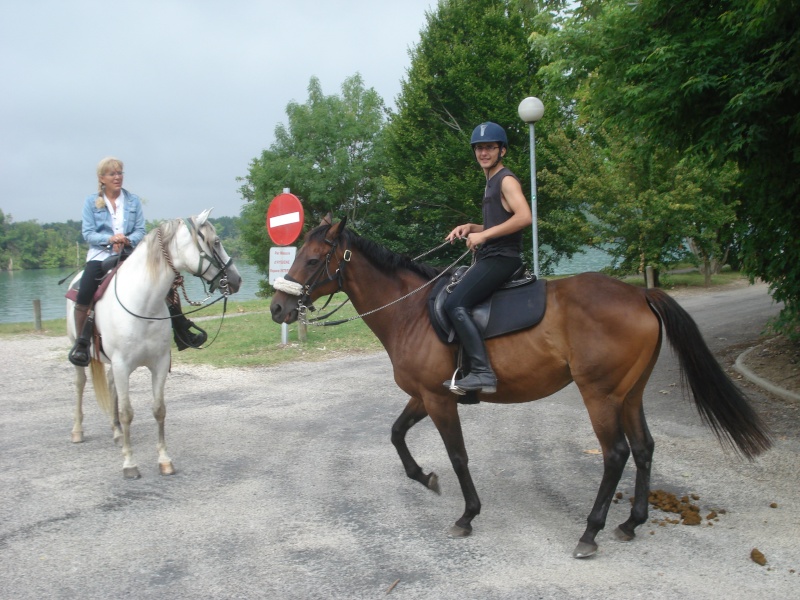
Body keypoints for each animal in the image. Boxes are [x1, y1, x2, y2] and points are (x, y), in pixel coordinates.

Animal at [66, 210, 241, 478]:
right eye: (217, 241)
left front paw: (164, 460)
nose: (236, 279)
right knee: (79, 384)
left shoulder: (158, 364)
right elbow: (127, 412)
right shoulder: (122, 365)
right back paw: (78, 430)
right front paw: (130, 464)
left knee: (110, 386)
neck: (142, 304)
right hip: (82, 354)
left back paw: (117, 433)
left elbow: (159, 409)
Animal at [272, 217, 772, 556]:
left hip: (599, 395)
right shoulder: (425, 394)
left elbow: (458, 455)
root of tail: (640, 294)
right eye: (295, 254)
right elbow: (396, 434)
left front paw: (467, 514)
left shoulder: (439, 399)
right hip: (630, 394)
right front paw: (424, 478)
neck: (411, 312)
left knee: (616, 454)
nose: (278, 307)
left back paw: (590, 532)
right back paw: (631, 523)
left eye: (312, 260)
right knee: (644, 448)